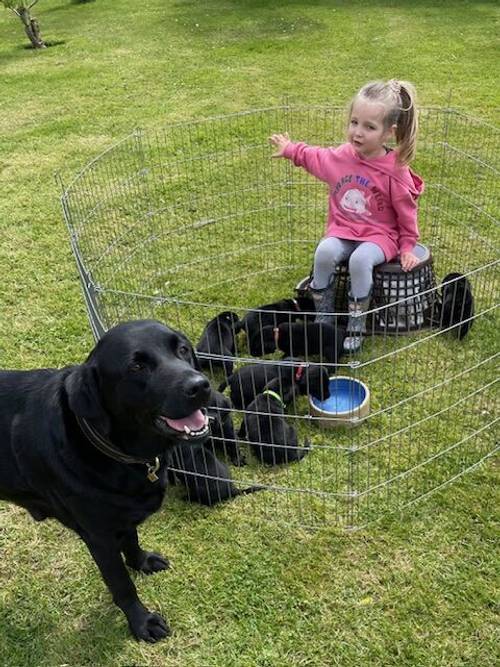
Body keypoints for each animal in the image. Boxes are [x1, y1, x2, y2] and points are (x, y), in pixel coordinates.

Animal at [0, 320, 212, 644]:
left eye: (183, 349)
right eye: (137, 366)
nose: (199, 386)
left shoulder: (123, 516)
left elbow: (132, 541)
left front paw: (142, 562)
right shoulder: (98, 536)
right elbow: (122, 584)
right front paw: (142, 622)